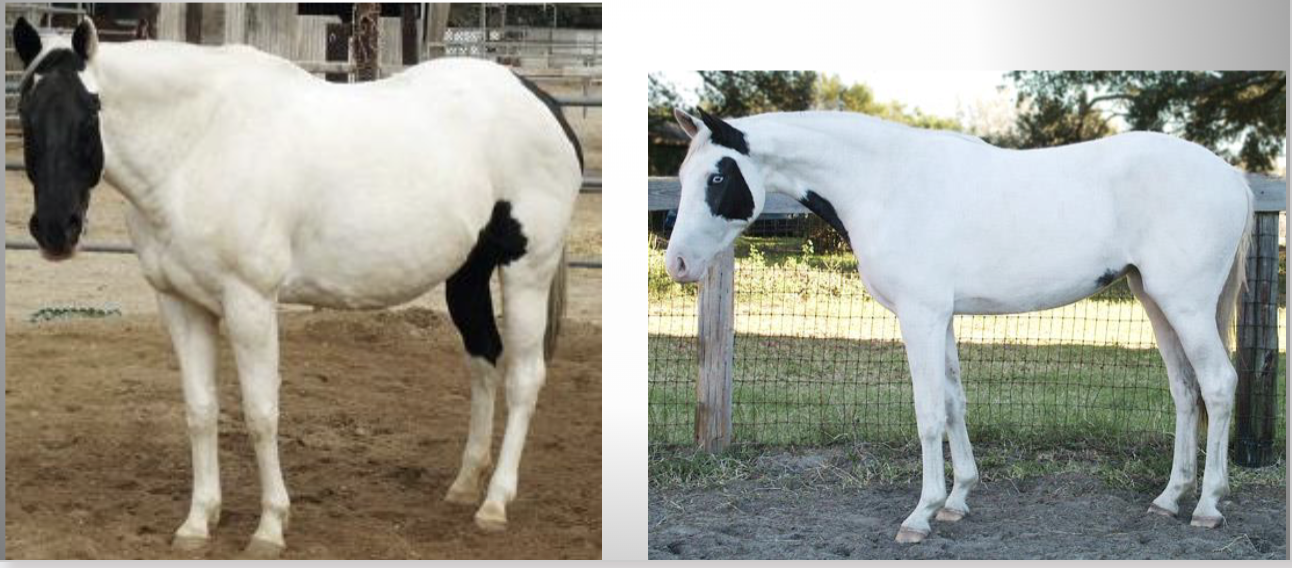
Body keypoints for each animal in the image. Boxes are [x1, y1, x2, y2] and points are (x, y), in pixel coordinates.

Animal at [12, 17, 582, 557]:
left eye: (90, 111)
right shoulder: (182, 305)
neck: (199, 146)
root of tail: (541, 102)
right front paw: (198, 522)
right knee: (483, 360)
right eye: (25, 109)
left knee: (524, 378)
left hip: (526, 271)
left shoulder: (250, 303)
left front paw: (269, 528)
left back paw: (494, 504)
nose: (55, 229)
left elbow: (261, 414)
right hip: (467, 274)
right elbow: (200, 411)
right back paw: (465, 485)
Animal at [664, 107, 1252, 543]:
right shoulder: (940, 317)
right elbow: (953, 403)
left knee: (1218, 386)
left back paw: (1207, 507)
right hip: (1154, 299)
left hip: (1185, 305)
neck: (887, 184)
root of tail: (1232, 178)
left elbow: (927, 413)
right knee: (1185, 391)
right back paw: (1169, 499)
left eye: (717, 177)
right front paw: (957, 498)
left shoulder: (920, 316)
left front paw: (920, 515)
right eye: (683, 178)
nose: (677, 265)